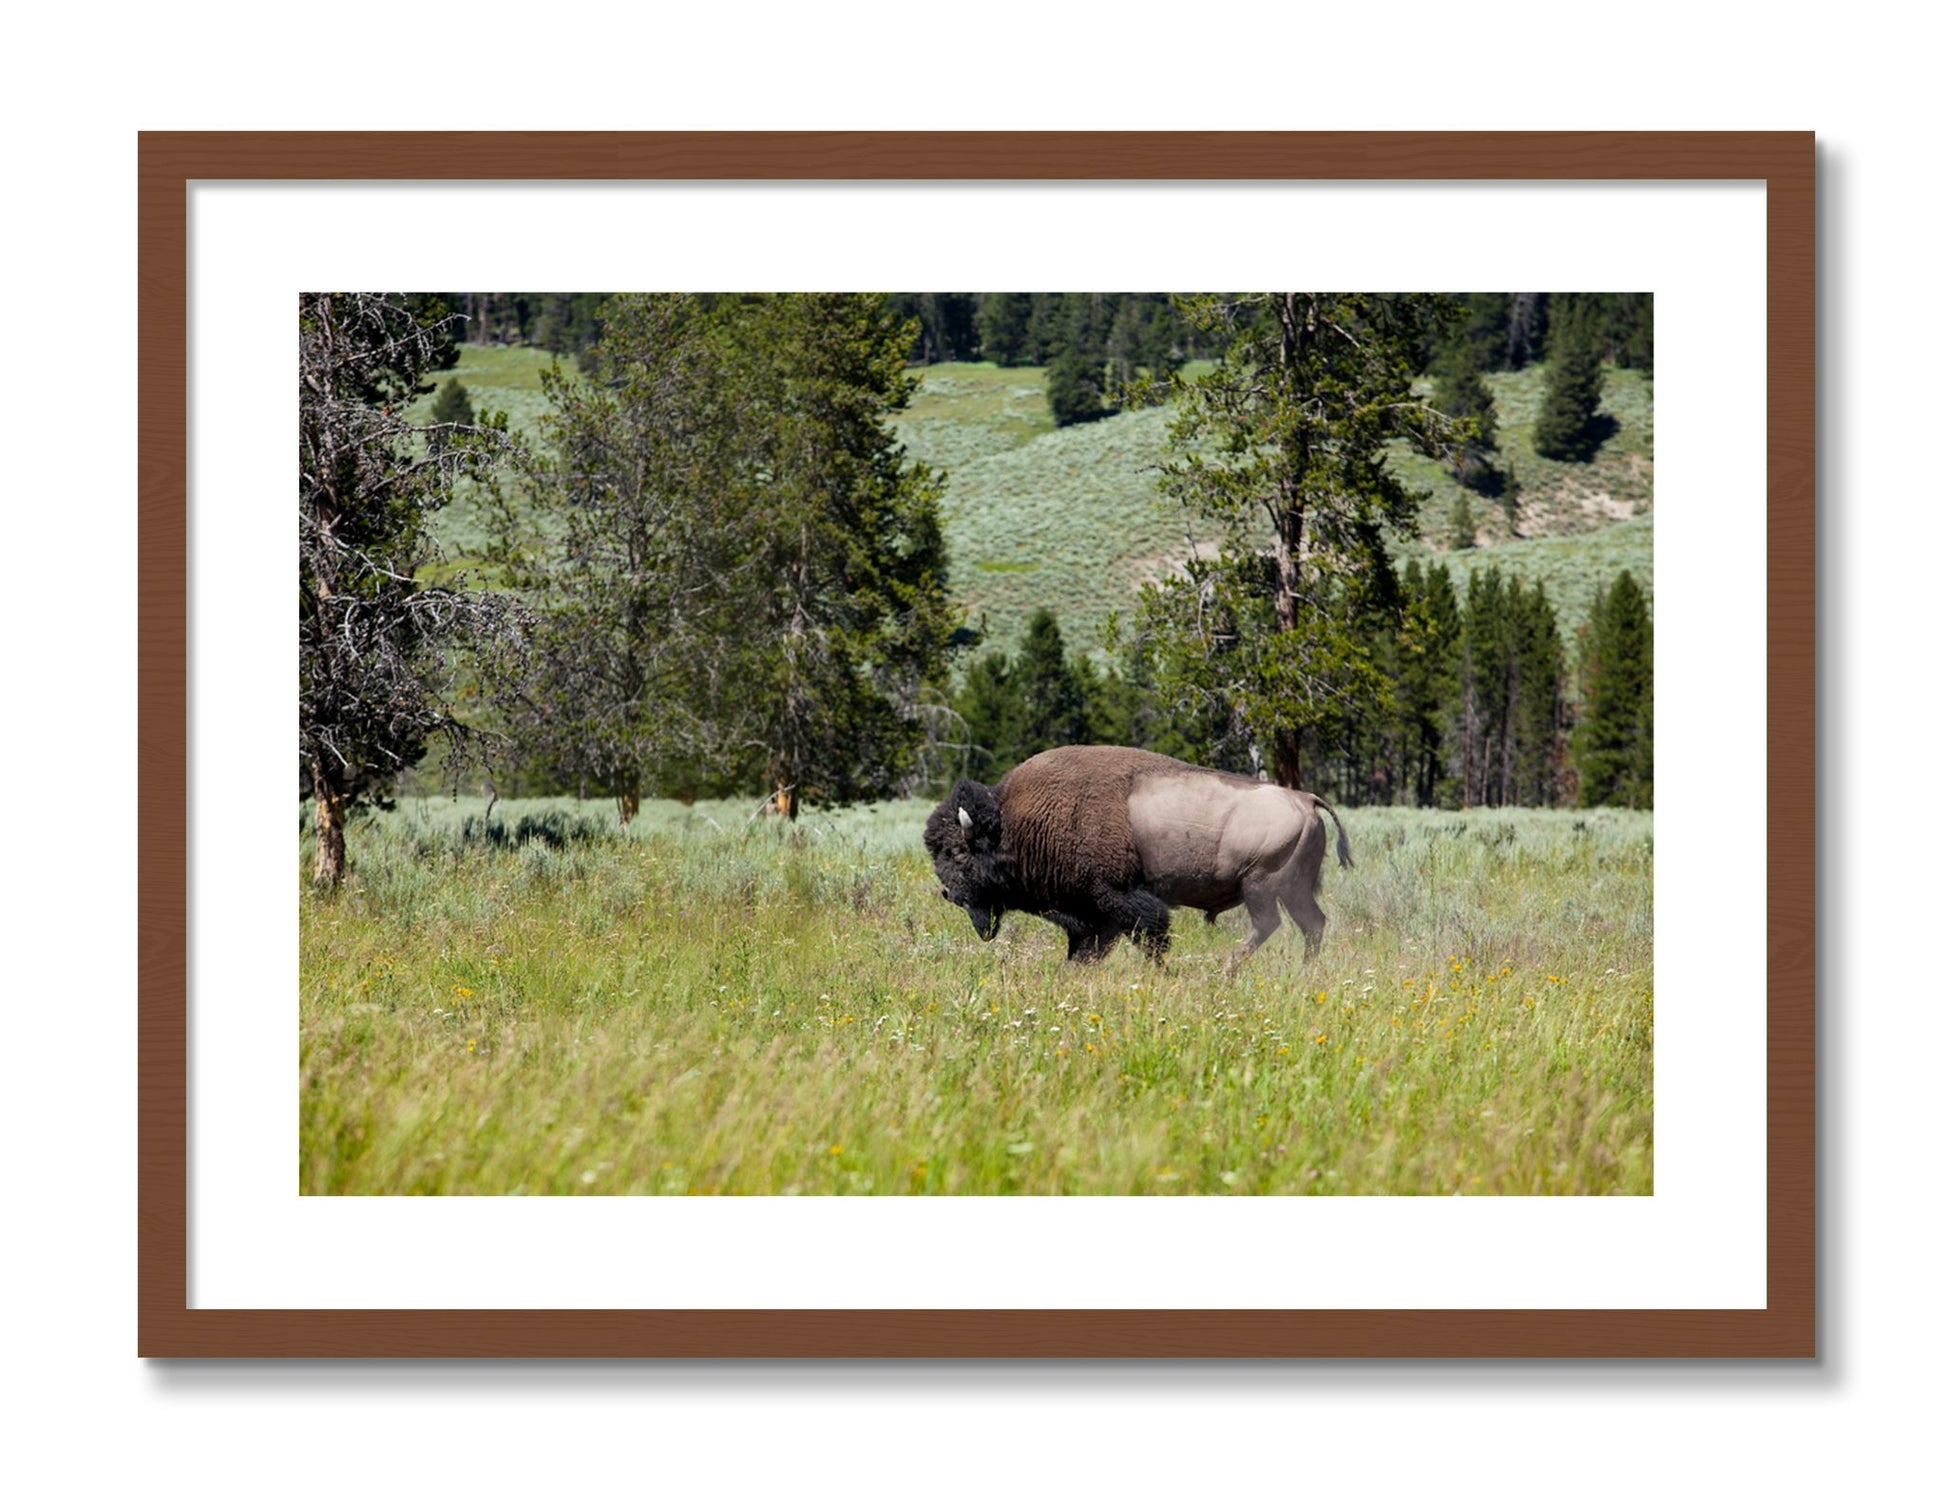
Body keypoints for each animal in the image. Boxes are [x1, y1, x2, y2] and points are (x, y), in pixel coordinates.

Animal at [923, 745, 1352, 968]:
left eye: (957, 852)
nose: (948, 893)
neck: (1014, 822)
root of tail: (1305, 799)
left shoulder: (1118, 898)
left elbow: (1149, 936)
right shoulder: (1094, 913)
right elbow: (1088, 949)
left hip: (1261, 885)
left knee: (1270, 925)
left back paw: (1226, 970)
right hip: (1293, 889)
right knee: (1312, 924)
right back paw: (1302, 971)